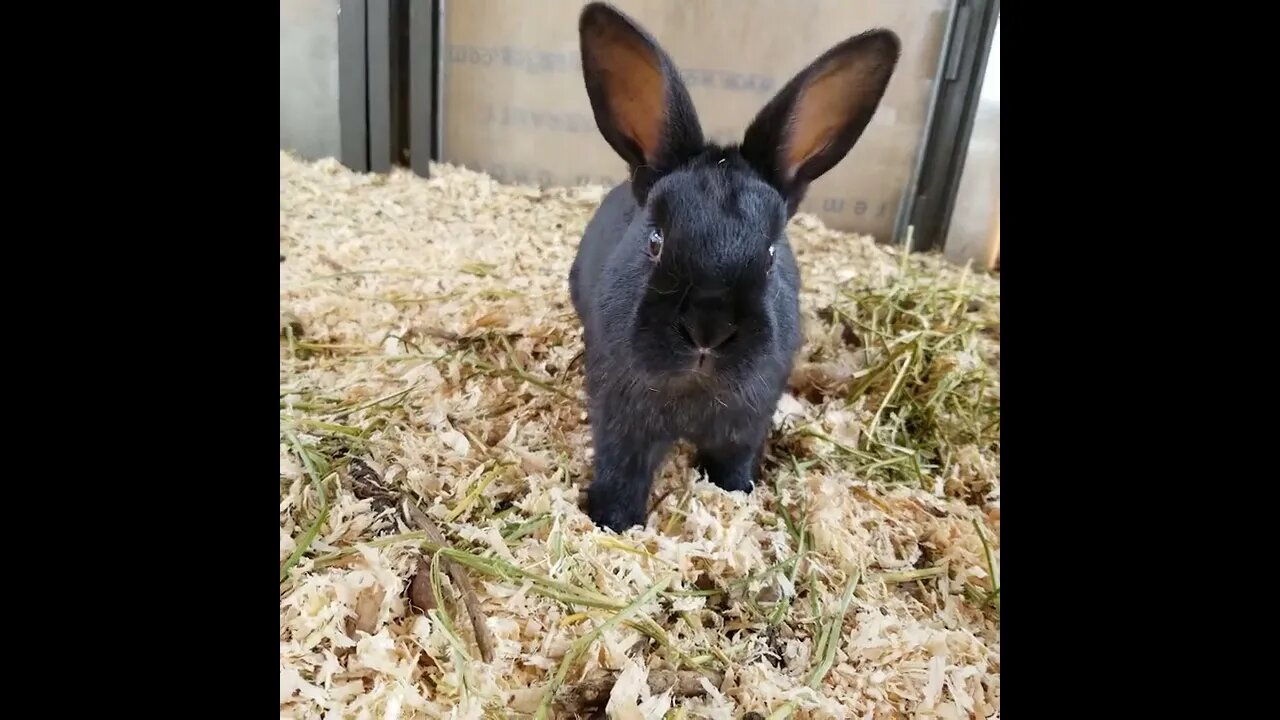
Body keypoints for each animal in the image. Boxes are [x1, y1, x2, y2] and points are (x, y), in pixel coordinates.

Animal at [569, 1, 901, 532]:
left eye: (770, 255)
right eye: (655, 241)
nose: (708, 330)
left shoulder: (745, 426)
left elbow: (732, 464)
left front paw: (737, 495)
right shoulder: (620, 423)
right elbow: (621, 472)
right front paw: (612, 523)